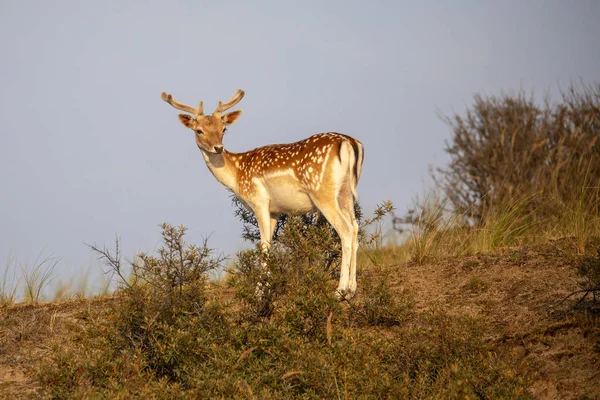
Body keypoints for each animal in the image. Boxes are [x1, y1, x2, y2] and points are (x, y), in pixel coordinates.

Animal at [159, 90, 364, 296]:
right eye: (199, 130)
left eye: (223, 129)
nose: (218, 147)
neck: (237, 175)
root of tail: (349, 143)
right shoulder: (274, 210)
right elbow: (270, 244)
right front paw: (265, 287)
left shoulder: (258, 201)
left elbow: (263, 246)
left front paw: (258, 293)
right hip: (346, 192)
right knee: (355, 227)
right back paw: (353, 288)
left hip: (322, 192)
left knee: (345, 230)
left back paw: (340, 290)